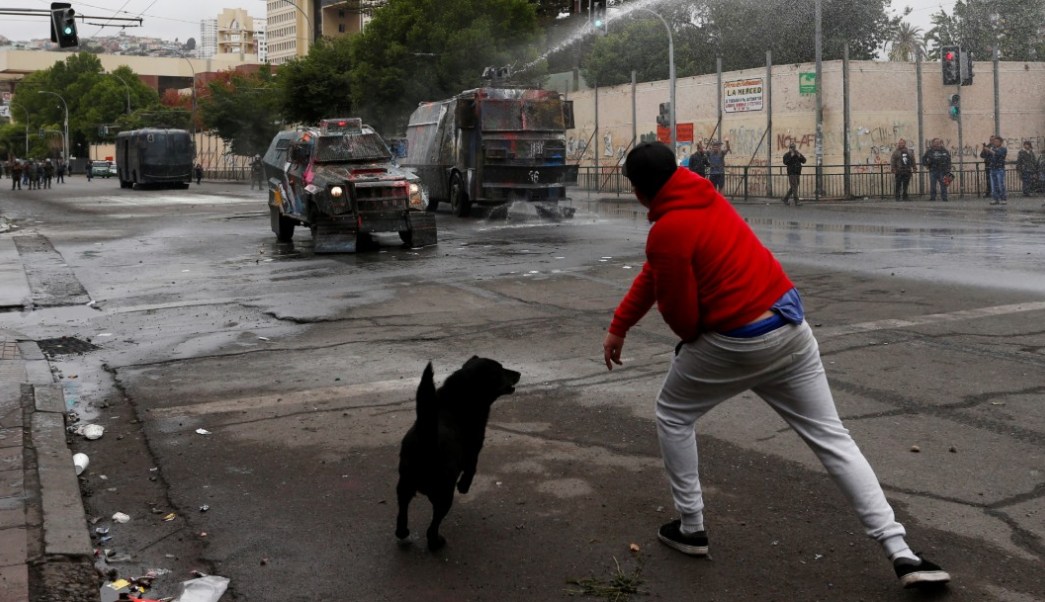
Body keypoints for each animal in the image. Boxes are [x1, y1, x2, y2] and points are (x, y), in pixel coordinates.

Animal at [392, 357, 520, 551]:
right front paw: (464, 486)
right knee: (432, 527)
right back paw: (436, 542)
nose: (518, 373)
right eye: (500, 370)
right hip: (444, 493)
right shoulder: (474, 449)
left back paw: (403, 532)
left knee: (402, 512)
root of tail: (426, 436)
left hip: (404, 485)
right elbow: (471, 469)